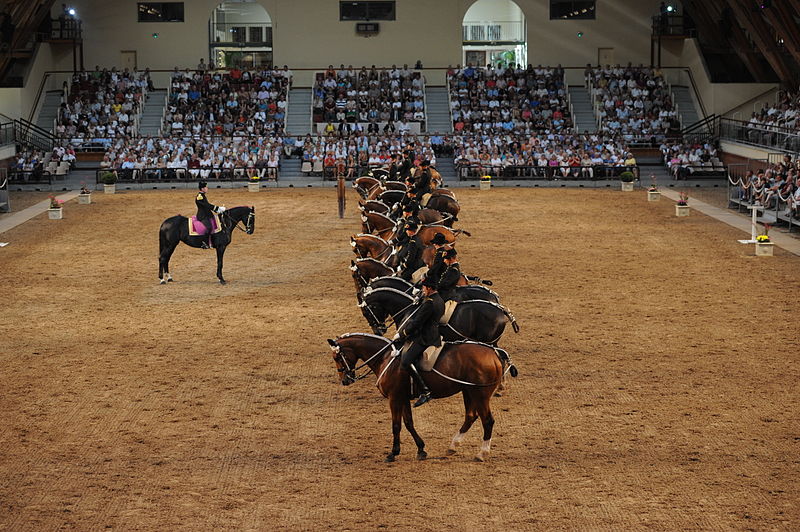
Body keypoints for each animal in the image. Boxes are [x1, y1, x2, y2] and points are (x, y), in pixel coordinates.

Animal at [328, 332, 516, 462]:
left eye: (337, 357)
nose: (345, 380)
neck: (385, 358)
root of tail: (494, 352)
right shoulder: (403, 398)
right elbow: (409, 423)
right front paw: (421, 450)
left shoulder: (394, 398)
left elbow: (396, 425)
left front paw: (393, 453)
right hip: (468, 391)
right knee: (470, 416)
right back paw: (453, 446)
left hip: (480, 395)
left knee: (487, 421)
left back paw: (482, 453)